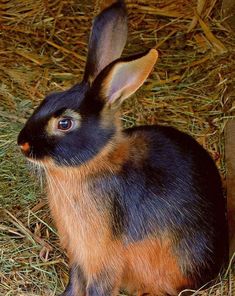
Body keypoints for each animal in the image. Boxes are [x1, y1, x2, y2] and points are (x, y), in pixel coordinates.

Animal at [17, 0, 228, 296]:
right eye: (48, 98)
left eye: (65, 123)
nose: (22, 143)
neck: (92, 165)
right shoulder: (79, 257)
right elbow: (75, 282)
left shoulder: (103, 259)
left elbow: (98, 287)